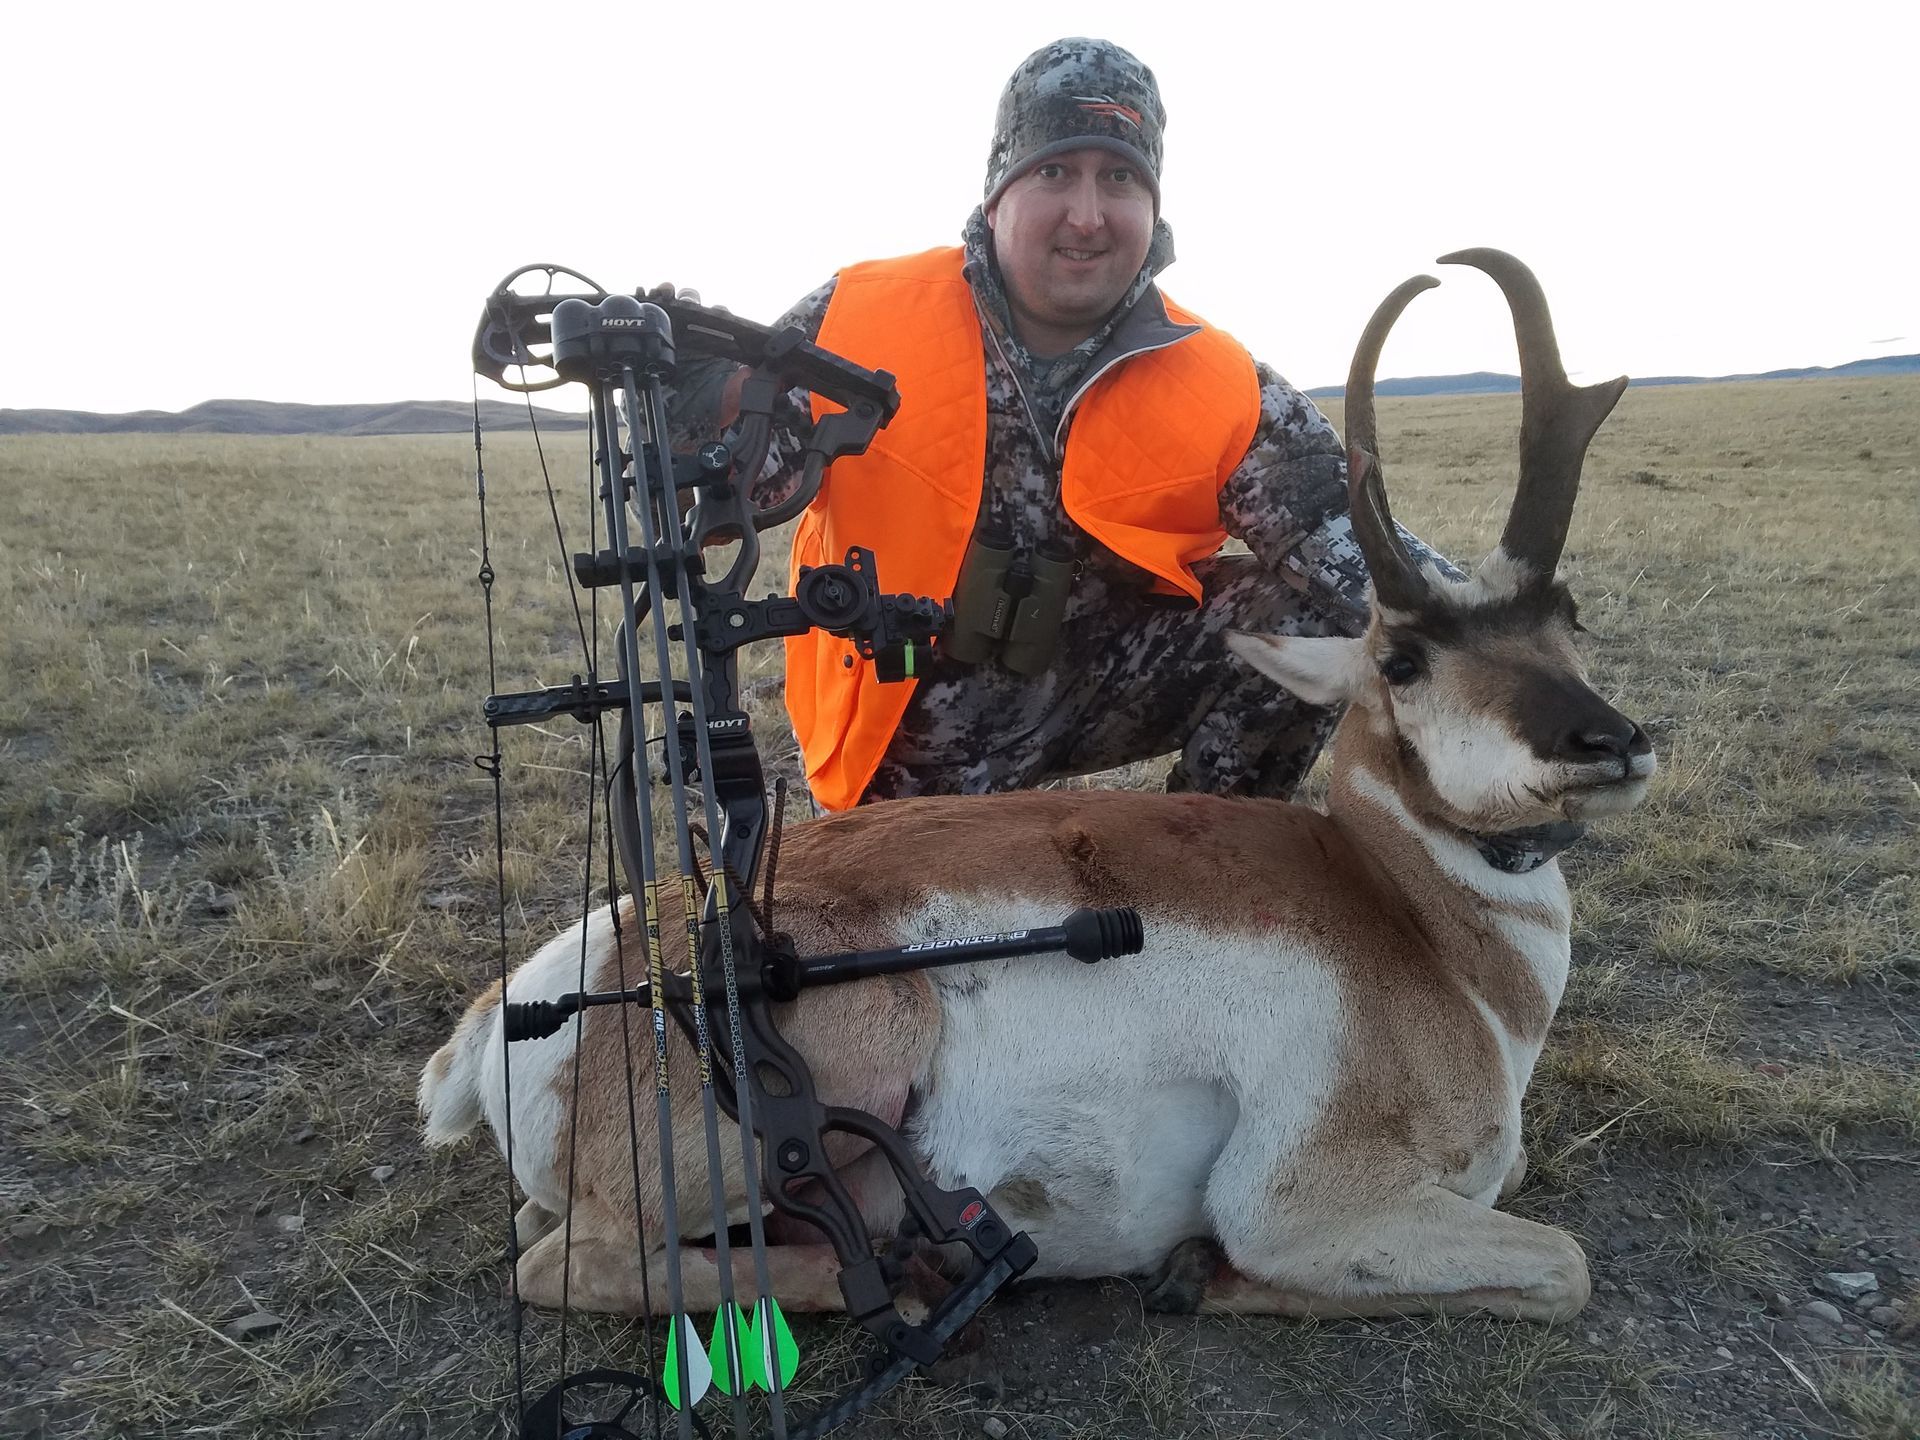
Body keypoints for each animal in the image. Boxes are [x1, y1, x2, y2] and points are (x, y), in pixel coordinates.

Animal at [420, 248, 1653, 1325]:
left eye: (1569, 616)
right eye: (1402, 662)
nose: (1613, 743)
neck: (1413, 924)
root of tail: (522, 999)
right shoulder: (1304, 1204)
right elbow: (1565, 1265)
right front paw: (1197, 1274)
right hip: (866, 1042)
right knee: (564, 1261)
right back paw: (907, 1277)